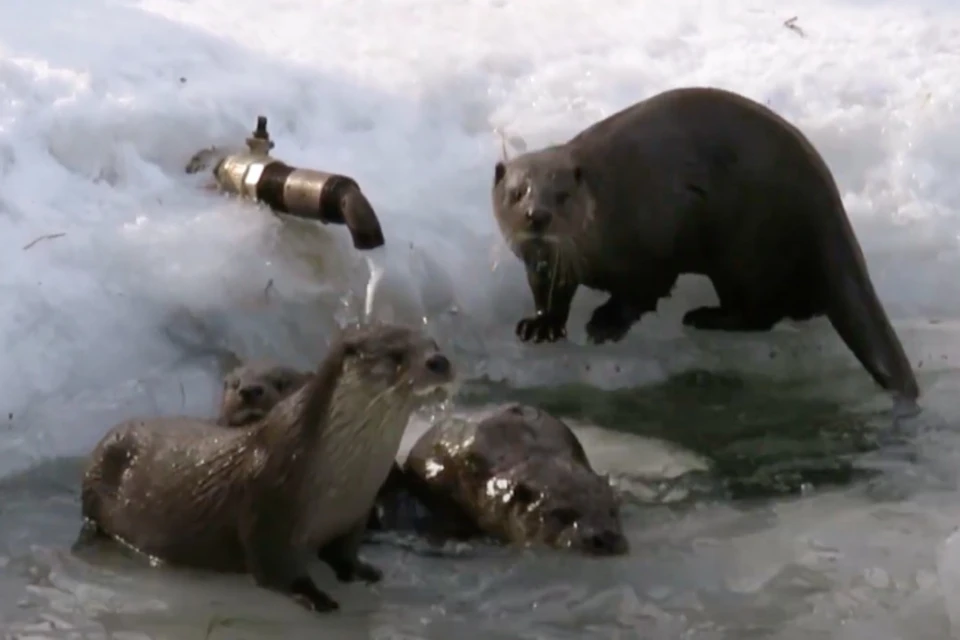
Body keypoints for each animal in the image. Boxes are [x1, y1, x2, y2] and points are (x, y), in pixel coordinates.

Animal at [79, 322, 458, 612]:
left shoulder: (358, 511)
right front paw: (315, 597)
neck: (344, 476)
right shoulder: (269, 503)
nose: (439, 361)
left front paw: (362, 572)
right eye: (396, 354)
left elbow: (346, 552)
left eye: (434, 345)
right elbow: (274, 568)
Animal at [496, 85, 924, 404]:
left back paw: (704, 317)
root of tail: (828, 209)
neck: (610, 209)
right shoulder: (546, 266)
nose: (537, 215)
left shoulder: (656, 236)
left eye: (562, 196)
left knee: (761, 313)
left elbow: (644, 291)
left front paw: (605, 324)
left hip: (747, 251)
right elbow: (550, 294)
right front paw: (539, 325)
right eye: (517, 193)